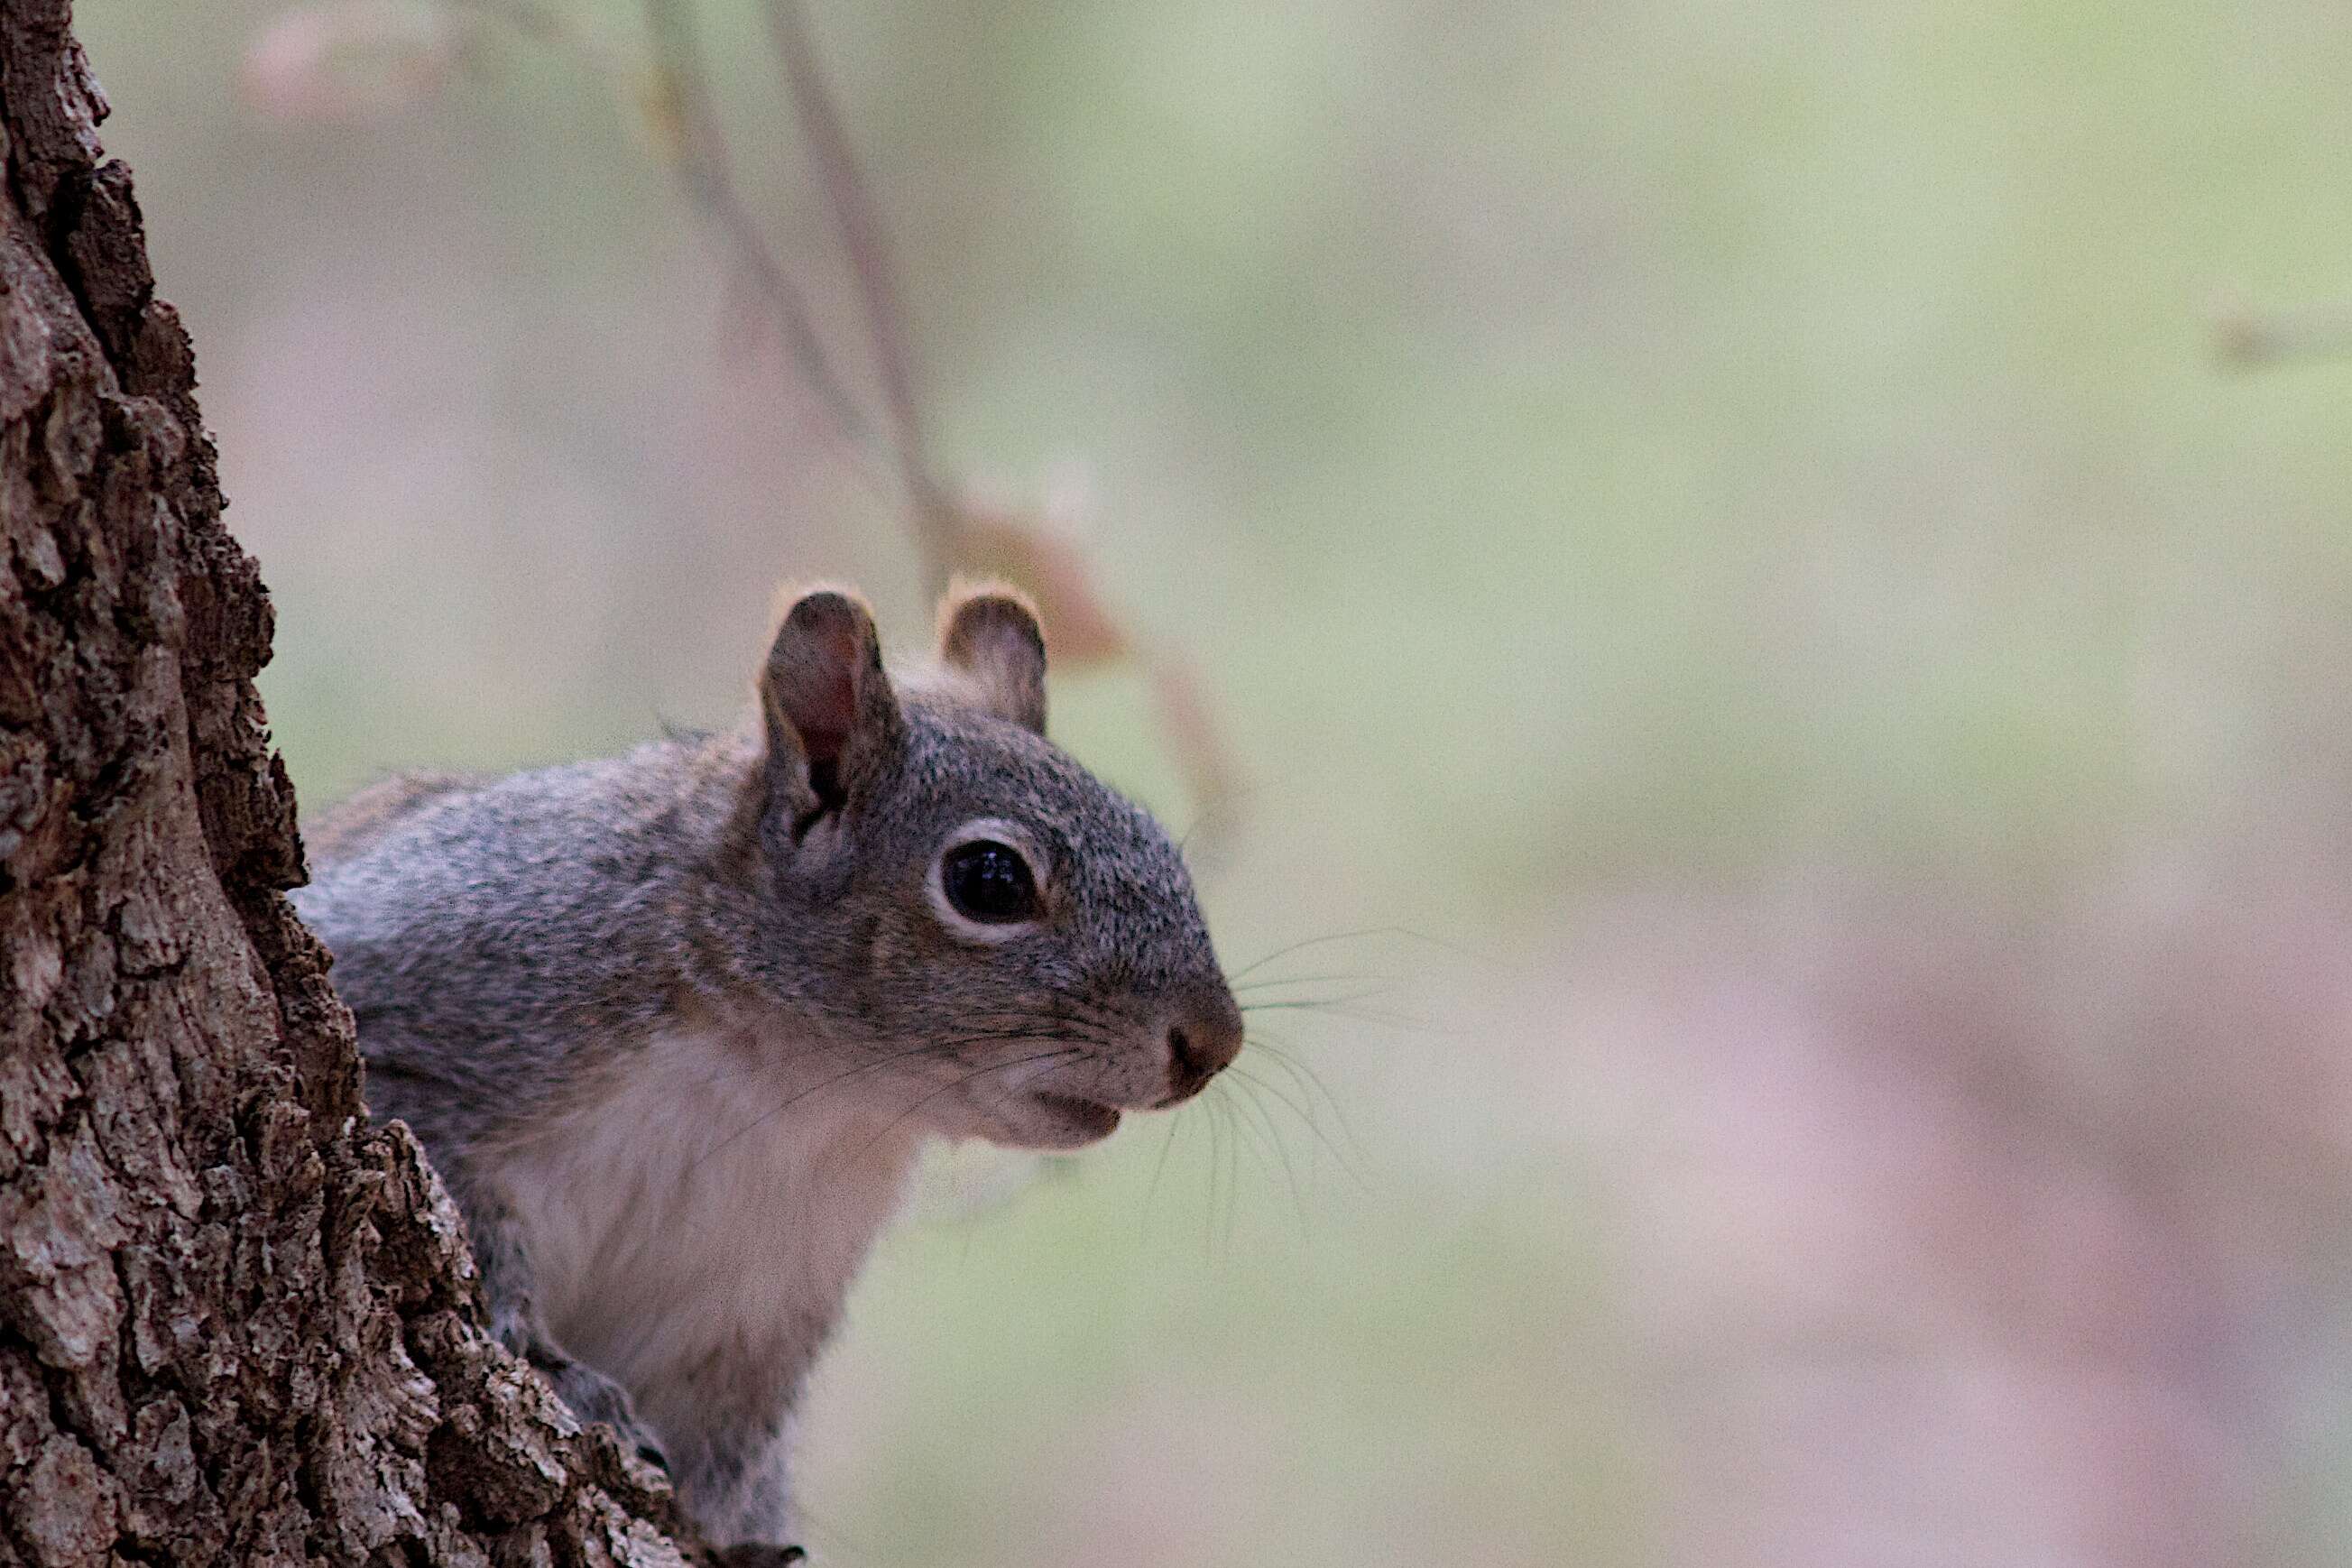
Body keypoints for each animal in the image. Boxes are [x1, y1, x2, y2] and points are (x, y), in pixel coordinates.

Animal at [293, 583, 1250, 1561]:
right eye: (989, 880)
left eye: (1159, 840)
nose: (1213, 1042)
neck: (792, 1080)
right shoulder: (435, 990)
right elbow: (460, 1205)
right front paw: (556, 1365)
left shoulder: (749, 1304)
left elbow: (724, 1438)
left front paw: (734, 1533)